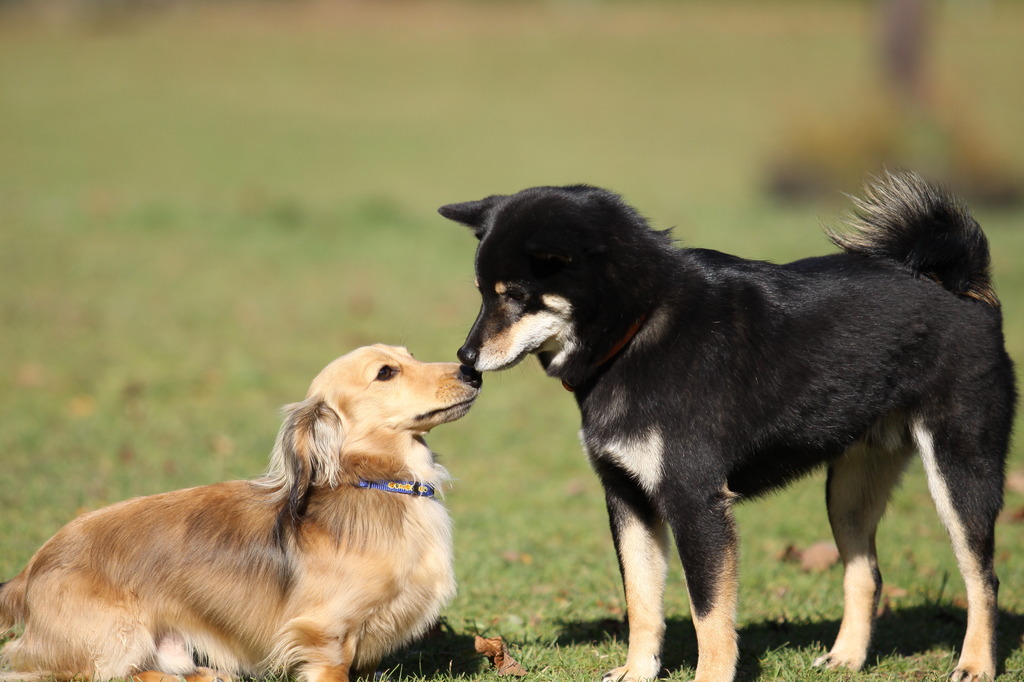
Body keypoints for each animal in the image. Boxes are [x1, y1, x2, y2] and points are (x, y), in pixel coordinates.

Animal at [1, 346, 483, 679]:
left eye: (410, 355)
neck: (373, 481)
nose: (471, 369)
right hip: (117, 637)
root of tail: (30, 572)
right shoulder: (322, 635)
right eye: (386, 372)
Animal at [442, 173, 1015, 679]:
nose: (465, 360)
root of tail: (964, 284)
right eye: (482, 292)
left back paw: (975, 664)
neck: (638, 325)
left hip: (960, 471)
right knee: (866, 571)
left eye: (515, 294)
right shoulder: (627, 495)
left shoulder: (695, 501)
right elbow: (642, 602)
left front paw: (708, 676)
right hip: (849, 490)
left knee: (983, 578)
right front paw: (637, 671)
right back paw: (847, 657)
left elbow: (709, 616)